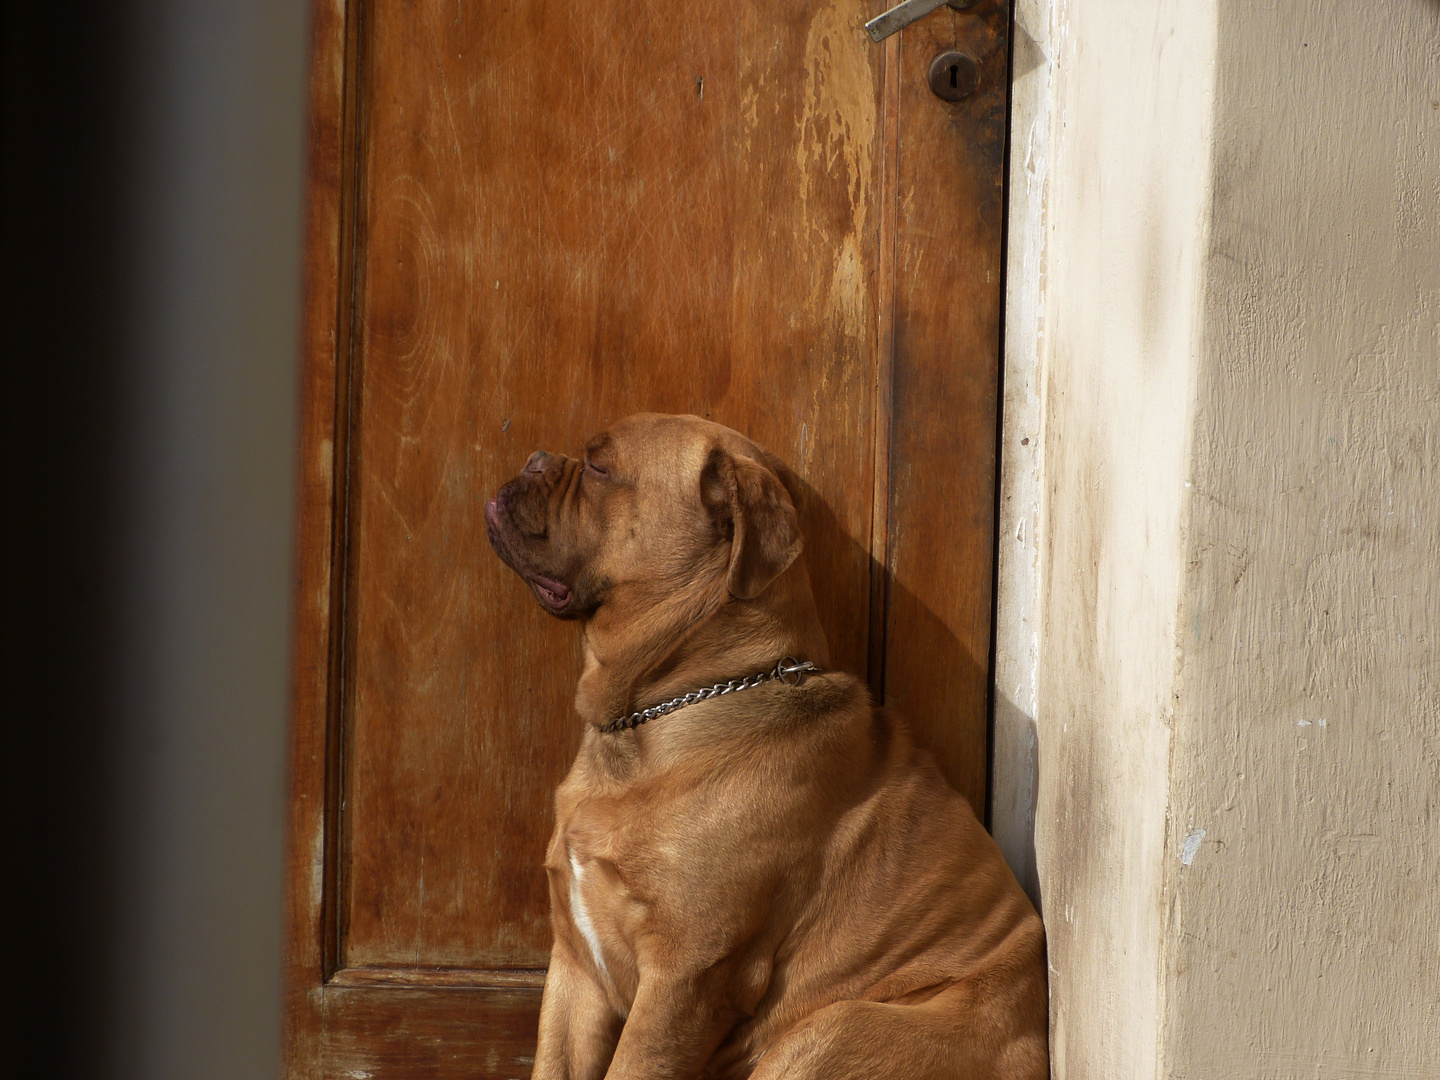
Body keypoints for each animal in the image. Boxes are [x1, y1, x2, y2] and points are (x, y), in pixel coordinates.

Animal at [483, 417, 1048, 1080]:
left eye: (599, 467)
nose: (535, 456)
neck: (664, 708)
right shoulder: (576, 970)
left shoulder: (685, 976)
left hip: (827, 1032)